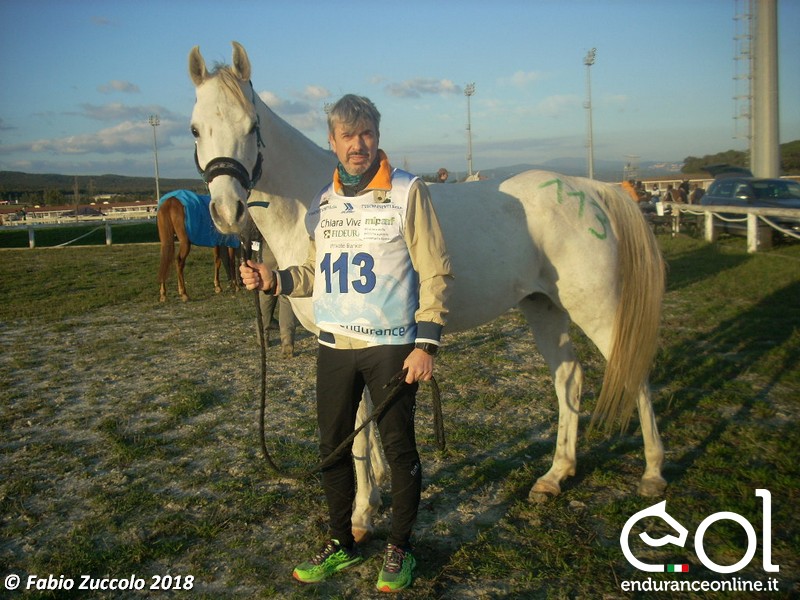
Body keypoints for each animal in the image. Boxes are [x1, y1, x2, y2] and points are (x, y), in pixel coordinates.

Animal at [188, 41, 667, 541]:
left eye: (252, 126)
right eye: (196, 129)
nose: (227, 211)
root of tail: (591, 190)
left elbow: (358, 433)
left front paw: (361, 514)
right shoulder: (343, 342)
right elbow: (362, 424)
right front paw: (377, 488)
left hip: (597, 308)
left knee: (632, 369)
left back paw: (653, 473)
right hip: (543, 308)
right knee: (568, 377)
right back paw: (555, 475)